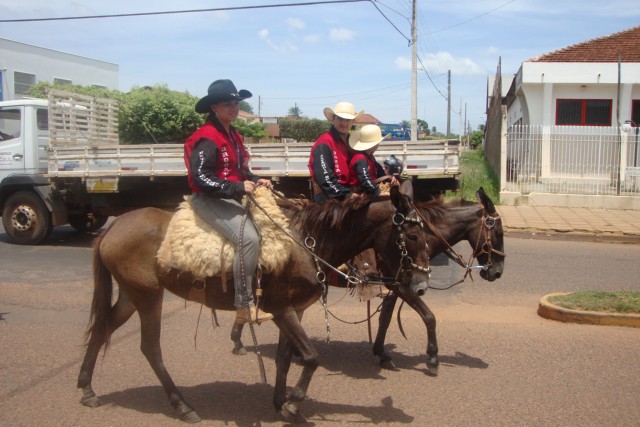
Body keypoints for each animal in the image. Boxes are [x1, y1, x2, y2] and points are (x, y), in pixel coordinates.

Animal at [79, 181, 430, 424]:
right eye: (412, 236)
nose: (421, 283)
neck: (306, 240)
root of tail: (112, 228)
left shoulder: (295, 310)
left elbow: (286, 358)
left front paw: (279, 402)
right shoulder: (281, 309)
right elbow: (311, 357)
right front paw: (292, 405)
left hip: (130, 294)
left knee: (101, 330)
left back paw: (87, 389)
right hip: (148, 297)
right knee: (150, 348)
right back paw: (182, 405)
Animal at [230, 189, 504, 372]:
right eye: (499, 232)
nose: (497, 272)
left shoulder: (395, 285)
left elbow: (385, 318)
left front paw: (381, 353)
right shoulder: (402, 285)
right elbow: (429, 316)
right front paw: (433, 358)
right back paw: (239, 340)